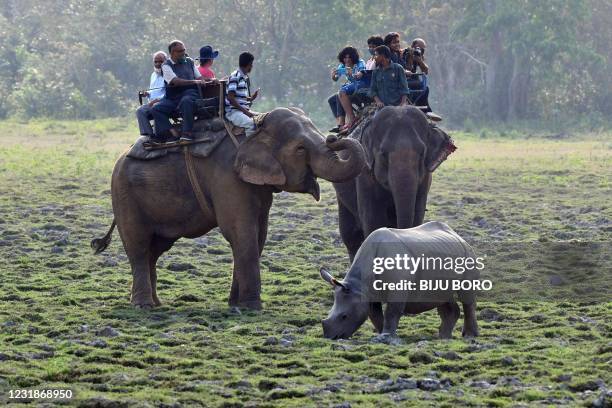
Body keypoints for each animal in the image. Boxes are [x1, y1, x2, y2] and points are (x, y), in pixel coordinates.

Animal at [91, 107, 366, 310]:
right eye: (300, 149)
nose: (334, 136)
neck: (253, 128)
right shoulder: (227, 178)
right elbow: (240, 232)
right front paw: (252, 307)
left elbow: (258, 236)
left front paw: (236, 304)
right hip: (124, 195)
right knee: (138, 246)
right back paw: (143, 306)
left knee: (154, 249)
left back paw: (156, 303)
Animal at [330, 105, 454, 262]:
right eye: (383, 154)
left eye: (422, 153)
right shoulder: (364, 172)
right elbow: (373, 218)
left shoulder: (425, 177)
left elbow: (417, 214)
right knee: (351, 236)